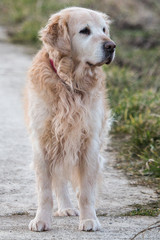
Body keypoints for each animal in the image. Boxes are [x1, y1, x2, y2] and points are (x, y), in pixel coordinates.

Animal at [24, 7, 115, 232]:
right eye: (84, 31)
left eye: (104, 29)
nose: (111, 46)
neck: (70, 83)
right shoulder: (42, 142)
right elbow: (45, 191)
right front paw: (42, 220)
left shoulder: (89, 143)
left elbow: (86, 191)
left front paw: (89, 219)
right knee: (59, 181)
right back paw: (64, 207)